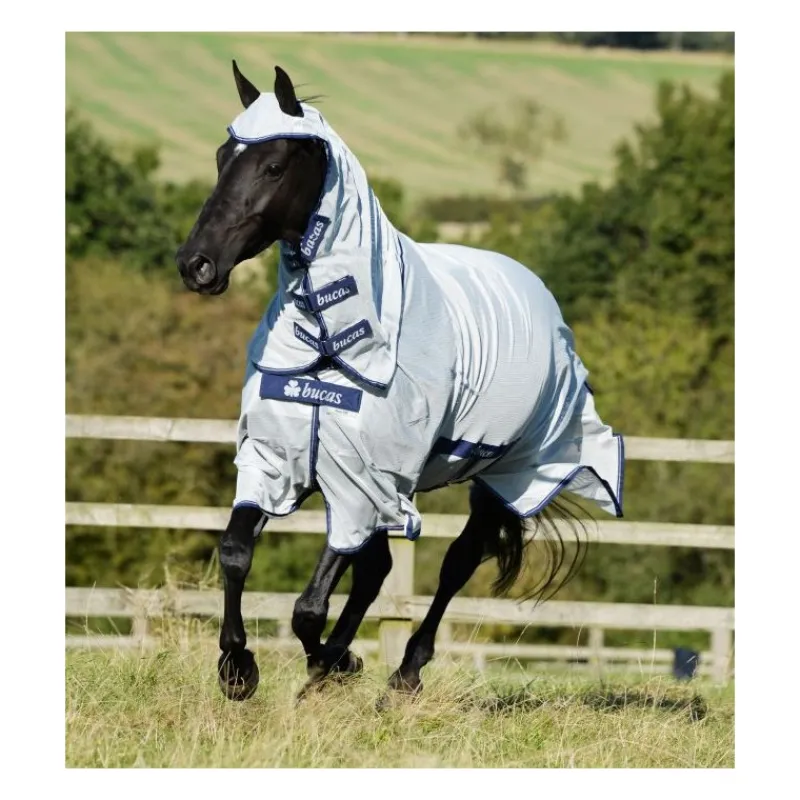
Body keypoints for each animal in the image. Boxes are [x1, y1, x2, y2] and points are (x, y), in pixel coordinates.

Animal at [176, 62, 624, 706]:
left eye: (273, 166)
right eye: (221, 156)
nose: (197, 265)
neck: (331, 345)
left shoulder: (361, 481)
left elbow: (310, 605)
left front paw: (332, 663)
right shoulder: (284, 460)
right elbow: (238, 553)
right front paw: (240, 668)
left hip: (496, 475)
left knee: (456, 562)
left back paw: (402, 673)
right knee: (377, 570)